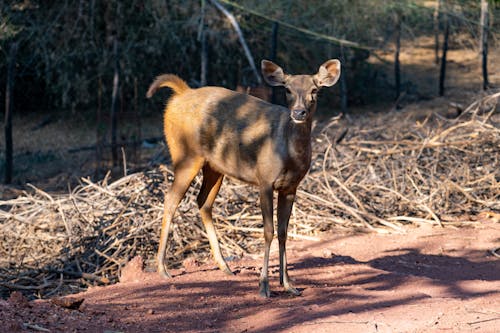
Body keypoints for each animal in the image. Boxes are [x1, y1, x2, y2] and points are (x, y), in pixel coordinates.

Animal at [146, 58, 340, 296]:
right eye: (287, 89)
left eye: (315, 90)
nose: (299, 112)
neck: (289, 153)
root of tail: (181, 93)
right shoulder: (264, 179)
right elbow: (268, 231)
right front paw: (264, 286)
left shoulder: (290, 187)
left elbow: (284, 232)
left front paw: (288, 284)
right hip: (185, 154)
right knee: (171, 200)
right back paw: (162, 268)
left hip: (214, 166)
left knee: (203, 202)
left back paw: (224, 266)